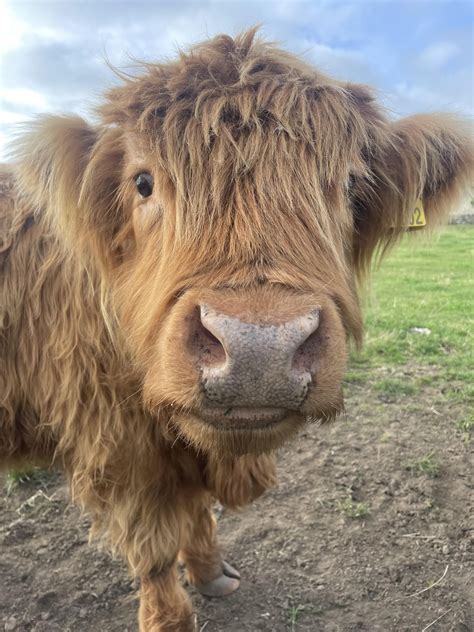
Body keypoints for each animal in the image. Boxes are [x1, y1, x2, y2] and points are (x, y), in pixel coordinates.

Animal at [0, 29, 472, 632]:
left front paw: (210, 573)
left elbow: (197, 507)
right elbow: (152, 544)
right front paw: (168, 617)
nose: (258, 349)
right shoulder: (118, 443)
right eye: (143, 183)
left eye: (350, 185)